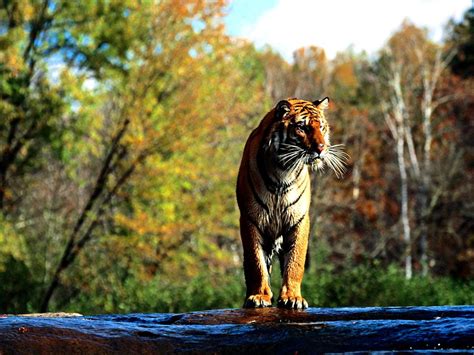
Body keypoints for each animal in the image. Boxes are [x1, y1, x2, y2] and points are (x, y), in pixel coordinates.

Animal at [236, 97, 348, 308]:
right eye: (302, 128)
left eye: (322, 127)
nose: (321, 148)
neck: (282, 171)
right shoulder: (251, 219)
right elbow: (256, 263)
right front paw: (259, 296)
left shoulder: (299, 220)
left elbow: (295, 261)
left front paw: (292, 297)